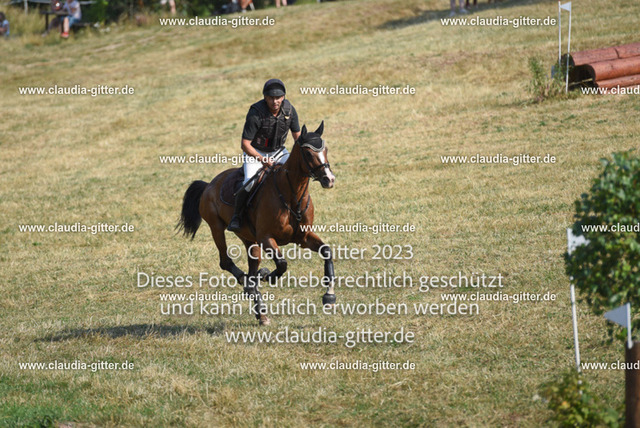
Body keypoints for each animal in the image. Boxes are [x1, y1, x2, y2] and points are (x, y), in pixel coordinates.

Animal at [178, 122, 336, 325]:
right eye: (308, 154)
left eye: (325, 149)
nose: (329, 179)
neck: (292, 196)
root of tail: (209, 185)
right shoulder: (266, 238)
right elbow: (282, 264)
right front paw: (269, 276)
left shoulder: (303, 237)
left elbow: (326, 251)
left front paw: (329, 297)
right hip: (216, 228)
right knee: (226, 261)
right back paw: (250, 284)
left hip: (248, 239)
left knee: (252, 267)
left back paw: (260, 309)